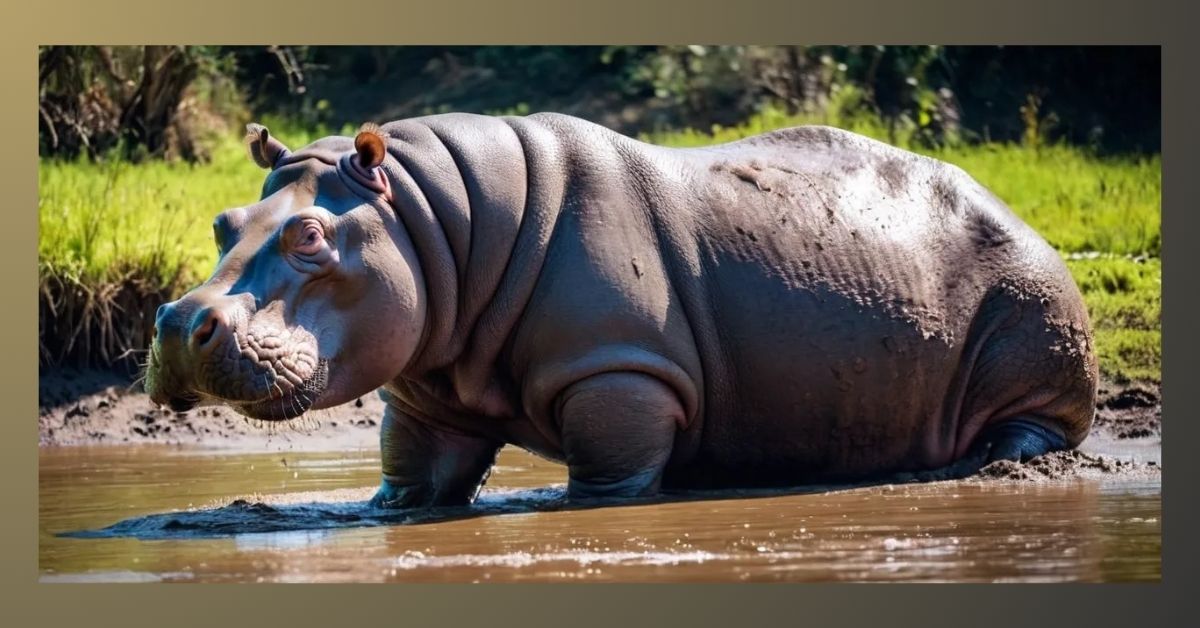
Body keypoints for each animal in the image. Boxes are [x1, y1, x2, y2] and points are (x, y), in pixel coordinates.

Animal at [145, 112, 1097, 507]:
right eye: (222, 223)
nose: (178, 325)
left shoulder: (617, 371)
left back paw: (983, 468)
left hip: (1028, 294)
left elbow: (606, 482)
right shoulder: (426, 390)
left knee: (1036, 409)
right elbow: (412, 476)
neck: (430, 217)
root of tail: (1020, 212)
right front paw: (393, 514)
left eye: (311, 236)